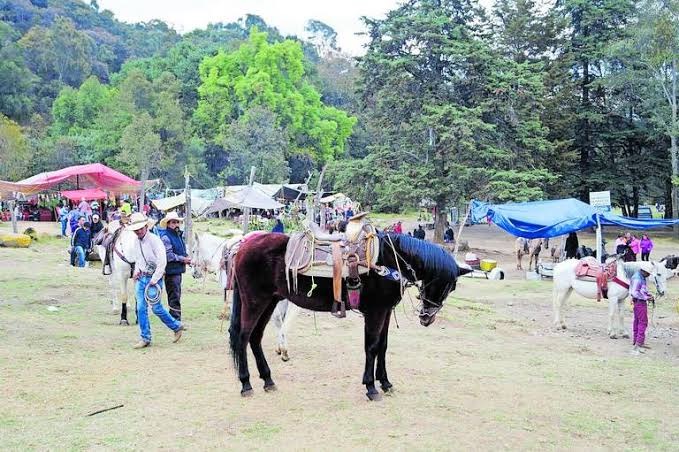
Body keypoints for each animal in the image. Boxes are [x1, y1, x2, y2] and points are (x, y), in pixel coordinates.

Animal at [230, 233, 472, 400]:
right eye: (447, 284)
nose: (427, 318)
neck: (391, 261)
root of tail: (244, 246)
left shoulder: (385, 312)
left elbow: (383, 347)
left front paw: (385, 383)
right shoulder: (375, 312)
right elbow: (371, 347)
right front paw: (371, 387)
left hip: (269, 301)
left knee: (255, 338)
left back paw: (268, 380)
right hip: (255, 301)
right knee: (243, 337)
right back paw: (246, 384)